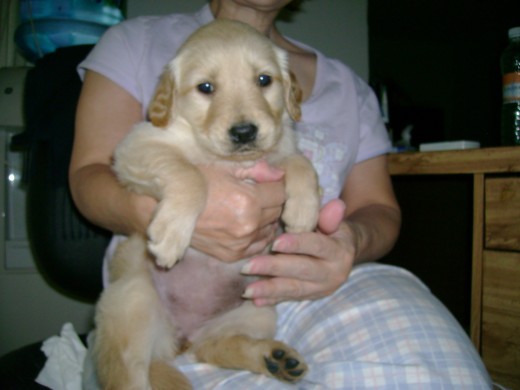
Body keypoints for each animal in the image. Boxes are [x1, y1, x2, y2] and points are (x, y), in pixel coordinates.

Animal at [94, 19, 320, 390]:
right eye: (206, 87)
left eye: (264, 80)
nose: (244, 132)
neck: (233, 162)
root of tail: (180, 339)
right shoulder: (137, 146)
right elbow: (190, 174)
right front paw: (170, 238)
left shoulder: (279, 150)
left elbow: (298, 161)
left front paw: (303, 212)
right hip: (133, 302)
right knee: (129, 374)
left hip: (254, 309)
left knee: (215, 347)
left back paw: (274, 358)